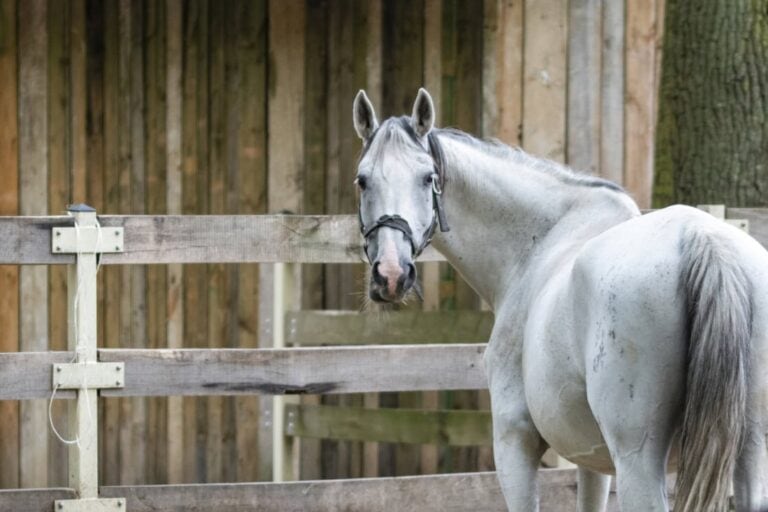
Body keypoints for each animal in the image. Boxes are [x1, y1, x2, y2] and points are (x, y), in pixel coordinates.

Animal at [351, 88, 768, 511]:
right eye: (362, 181)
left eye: (428, 178)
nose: (391, 274)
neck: (540, 243)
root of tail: (702, 238)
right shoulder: (592, 461)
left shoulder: (514, 441)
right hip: (749, 452)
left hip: (638, 460)